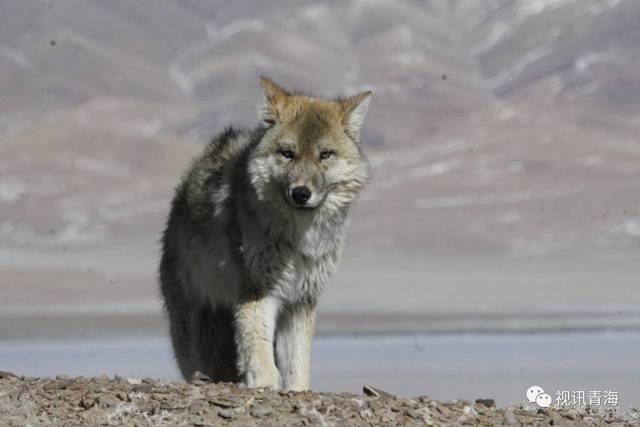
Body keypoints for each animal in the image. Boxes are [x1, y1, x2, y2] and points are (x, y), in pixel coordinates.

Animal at [158, 77, 372, 392]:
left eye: (325, 155)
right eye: (287, 153)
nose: (300, 193)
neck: (298, 240)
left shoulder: (300, 302)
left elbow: (297, 364)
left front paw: (295, 390)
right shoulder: (257, 293)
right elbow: (259, 353)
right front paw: (263, 384)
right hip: (195, 340)